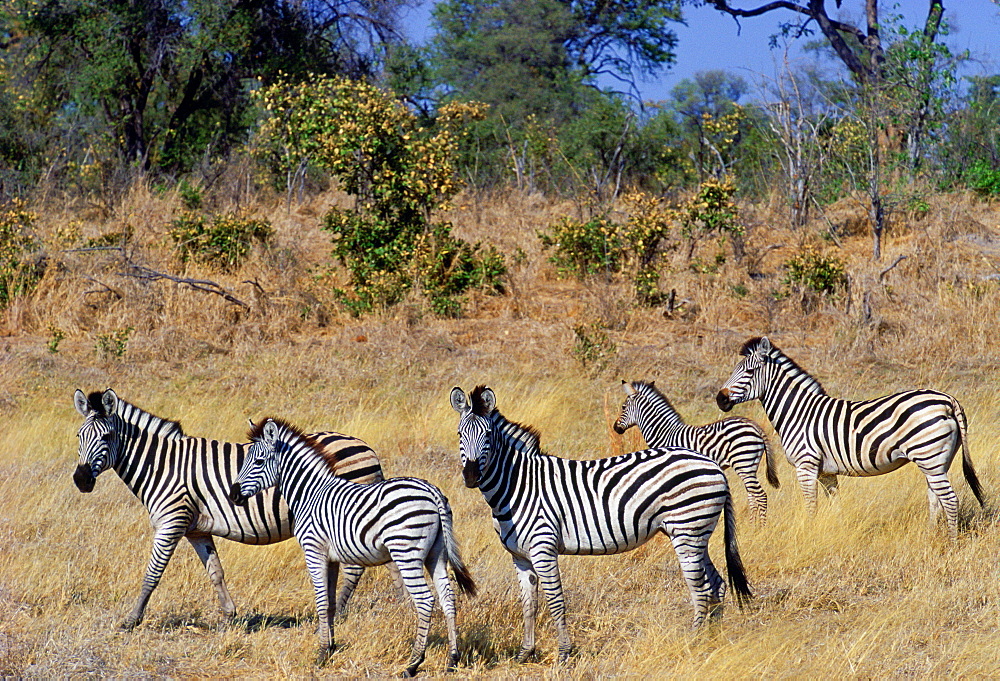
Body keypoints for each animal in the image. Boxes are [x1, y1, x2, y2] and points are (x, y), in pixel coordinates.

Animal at [72, 388, 384, 628]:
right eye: (79, 436)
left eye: (107, 437)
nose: (81, 480)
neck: (161, 465)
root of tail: (364, 445)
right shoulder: (196, 529)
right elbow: (215, 572)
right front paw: (229, 616)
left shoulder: (171, 522)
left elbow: (152, 574)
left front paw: (131, 620)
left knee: (354, 568)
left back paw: (338, 612)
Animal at [229, 418, 476, 672]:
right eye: (245, 460)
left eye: (258, 461)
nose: (233, 495)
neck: (310, 494)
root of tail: (432, 491)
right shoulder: (331, 557)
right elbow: (330, 603)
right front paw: (330, 647)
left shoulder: (313, 551)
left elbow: (321, 601)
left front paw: (321, 655)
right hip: (436, 553)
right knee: (448, 597)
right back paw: (452, 659)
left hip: (406, 553)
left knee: (425, 601)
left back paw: (413, 663)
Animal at [448, 388, 752, 664]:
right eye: (459, 435)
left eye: (488, 436)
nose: (471, 477)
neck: (517, 485)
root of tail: (712, 463)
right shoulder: (520, 556)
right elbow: (529, 604)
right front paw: (525, 653)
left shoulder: (544, 549)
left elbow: (556, 602)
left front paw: (564, 654)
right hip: (696, 533)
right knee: (716, 584)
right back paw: (712, 639)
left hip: (688, 531)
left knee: (700, 589)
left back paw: (693, 641)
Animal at [608, 378, 780, 520]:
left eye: (623, 407)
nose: (615, 428)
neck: (664, 433)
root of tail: (753, 425)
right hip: (749, 466)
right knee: (752, 496)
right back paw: (752, 524)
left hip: (743, 462)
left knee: (760, 495)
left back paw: (760, 528)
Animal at [716, 334, 988, 536]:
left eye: (749, 372)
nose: (720, 399)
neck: (799, 412)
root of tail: (947, 399)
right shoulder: (826, 473)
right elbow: (834, 506)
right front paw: (836, 533)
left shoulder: (806, 466)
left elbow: (811, 507)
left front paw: (810, 533)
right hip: (936, 461)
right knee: (935, 497)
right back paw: (930, 535)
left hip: (929, 455)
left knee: (949, 500)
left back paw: (950, 541)